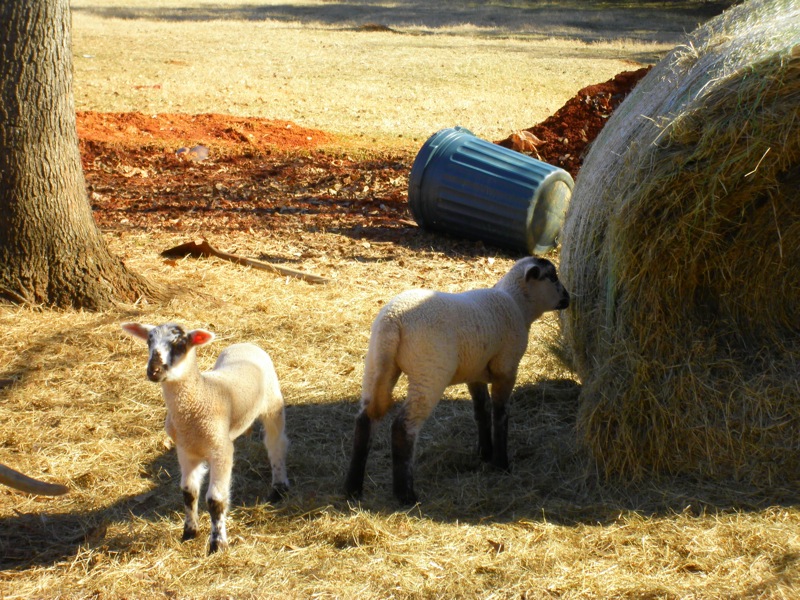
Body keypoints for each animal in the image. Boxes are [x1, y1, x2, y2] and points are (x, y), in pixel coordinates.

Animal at [121, 322, 289, 553]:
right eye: (149, 341)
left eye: (180, 344)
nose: (153, 371)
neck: (201, 395)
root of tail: (246, 344)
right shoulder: (185, 450)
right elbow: (188, 493)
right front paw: (189, 533)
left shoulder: (220, 451)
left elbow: (215, 500)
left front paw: (217, 544)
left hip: (273, 403)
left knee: (275, 445)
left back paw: (279, 487)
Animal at [344, 256, 570, 505]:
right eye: (553, 277)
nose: (568, 298)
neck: (518, 304)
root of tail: (393, 319)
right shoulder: (506, 369)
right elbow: (500, 414)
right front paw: (501, 463)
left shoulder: (475, 373)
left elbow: (482, 411)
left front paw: (484, 452)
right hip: (429, 372)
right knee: (403, 427)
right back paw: (406, 496)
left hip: (376, 364)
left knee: (365, 420)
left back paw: (352, 488)